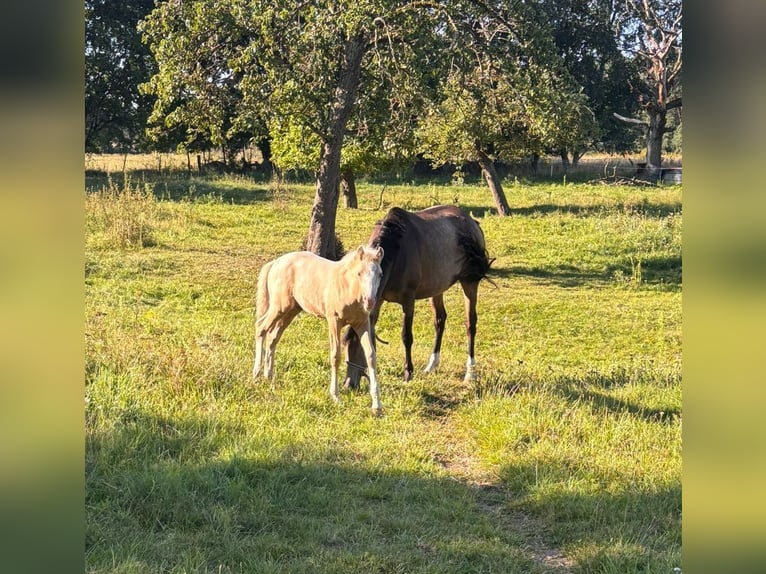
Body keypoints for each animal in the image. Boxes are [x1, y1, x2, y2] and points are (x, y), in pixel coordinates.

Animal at [252, 245, 385, 414]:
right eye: (359, 273)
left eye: (380, 274)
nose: (370, 302)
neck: (346, 287)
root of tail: (276, 262)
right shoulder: (334, 321)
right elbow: (336, 356)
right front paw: (335, 396)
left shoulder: (362, 323)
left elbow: (371, 356)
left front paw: (377, 405)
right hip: (279, 307)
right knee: (261, 327)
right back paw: (256, 374)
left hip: (290, 310)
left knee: (272, 337)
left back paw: (268, 376)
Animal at [343, 205, 492, 390]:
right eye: (346, 345)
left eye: (360, 348)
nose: (348, 384)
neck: (395, 252)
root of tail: (472, 222)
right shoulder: (377, 300)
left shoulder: (408, 301)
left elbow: (406, 336)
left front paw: (408, 372)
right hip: (437, 287)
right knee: (440, 320)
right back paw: (431, 365)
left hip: (469, 282)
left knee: (470, 324)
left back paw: (470, 373)